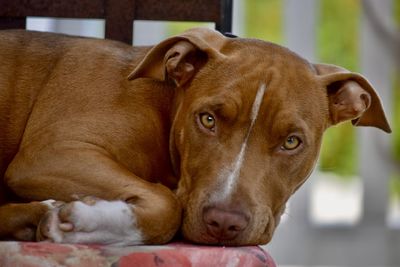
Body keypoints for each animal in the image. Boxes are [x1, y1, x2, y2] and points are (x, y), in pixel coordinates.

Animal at [0, 28, 390, 246]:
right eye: (207, 119)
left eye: (292, 142)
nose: (225, 222)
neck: (165, 106)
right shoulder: (51, 155)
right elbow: (167, 204)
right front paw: (84, 224)